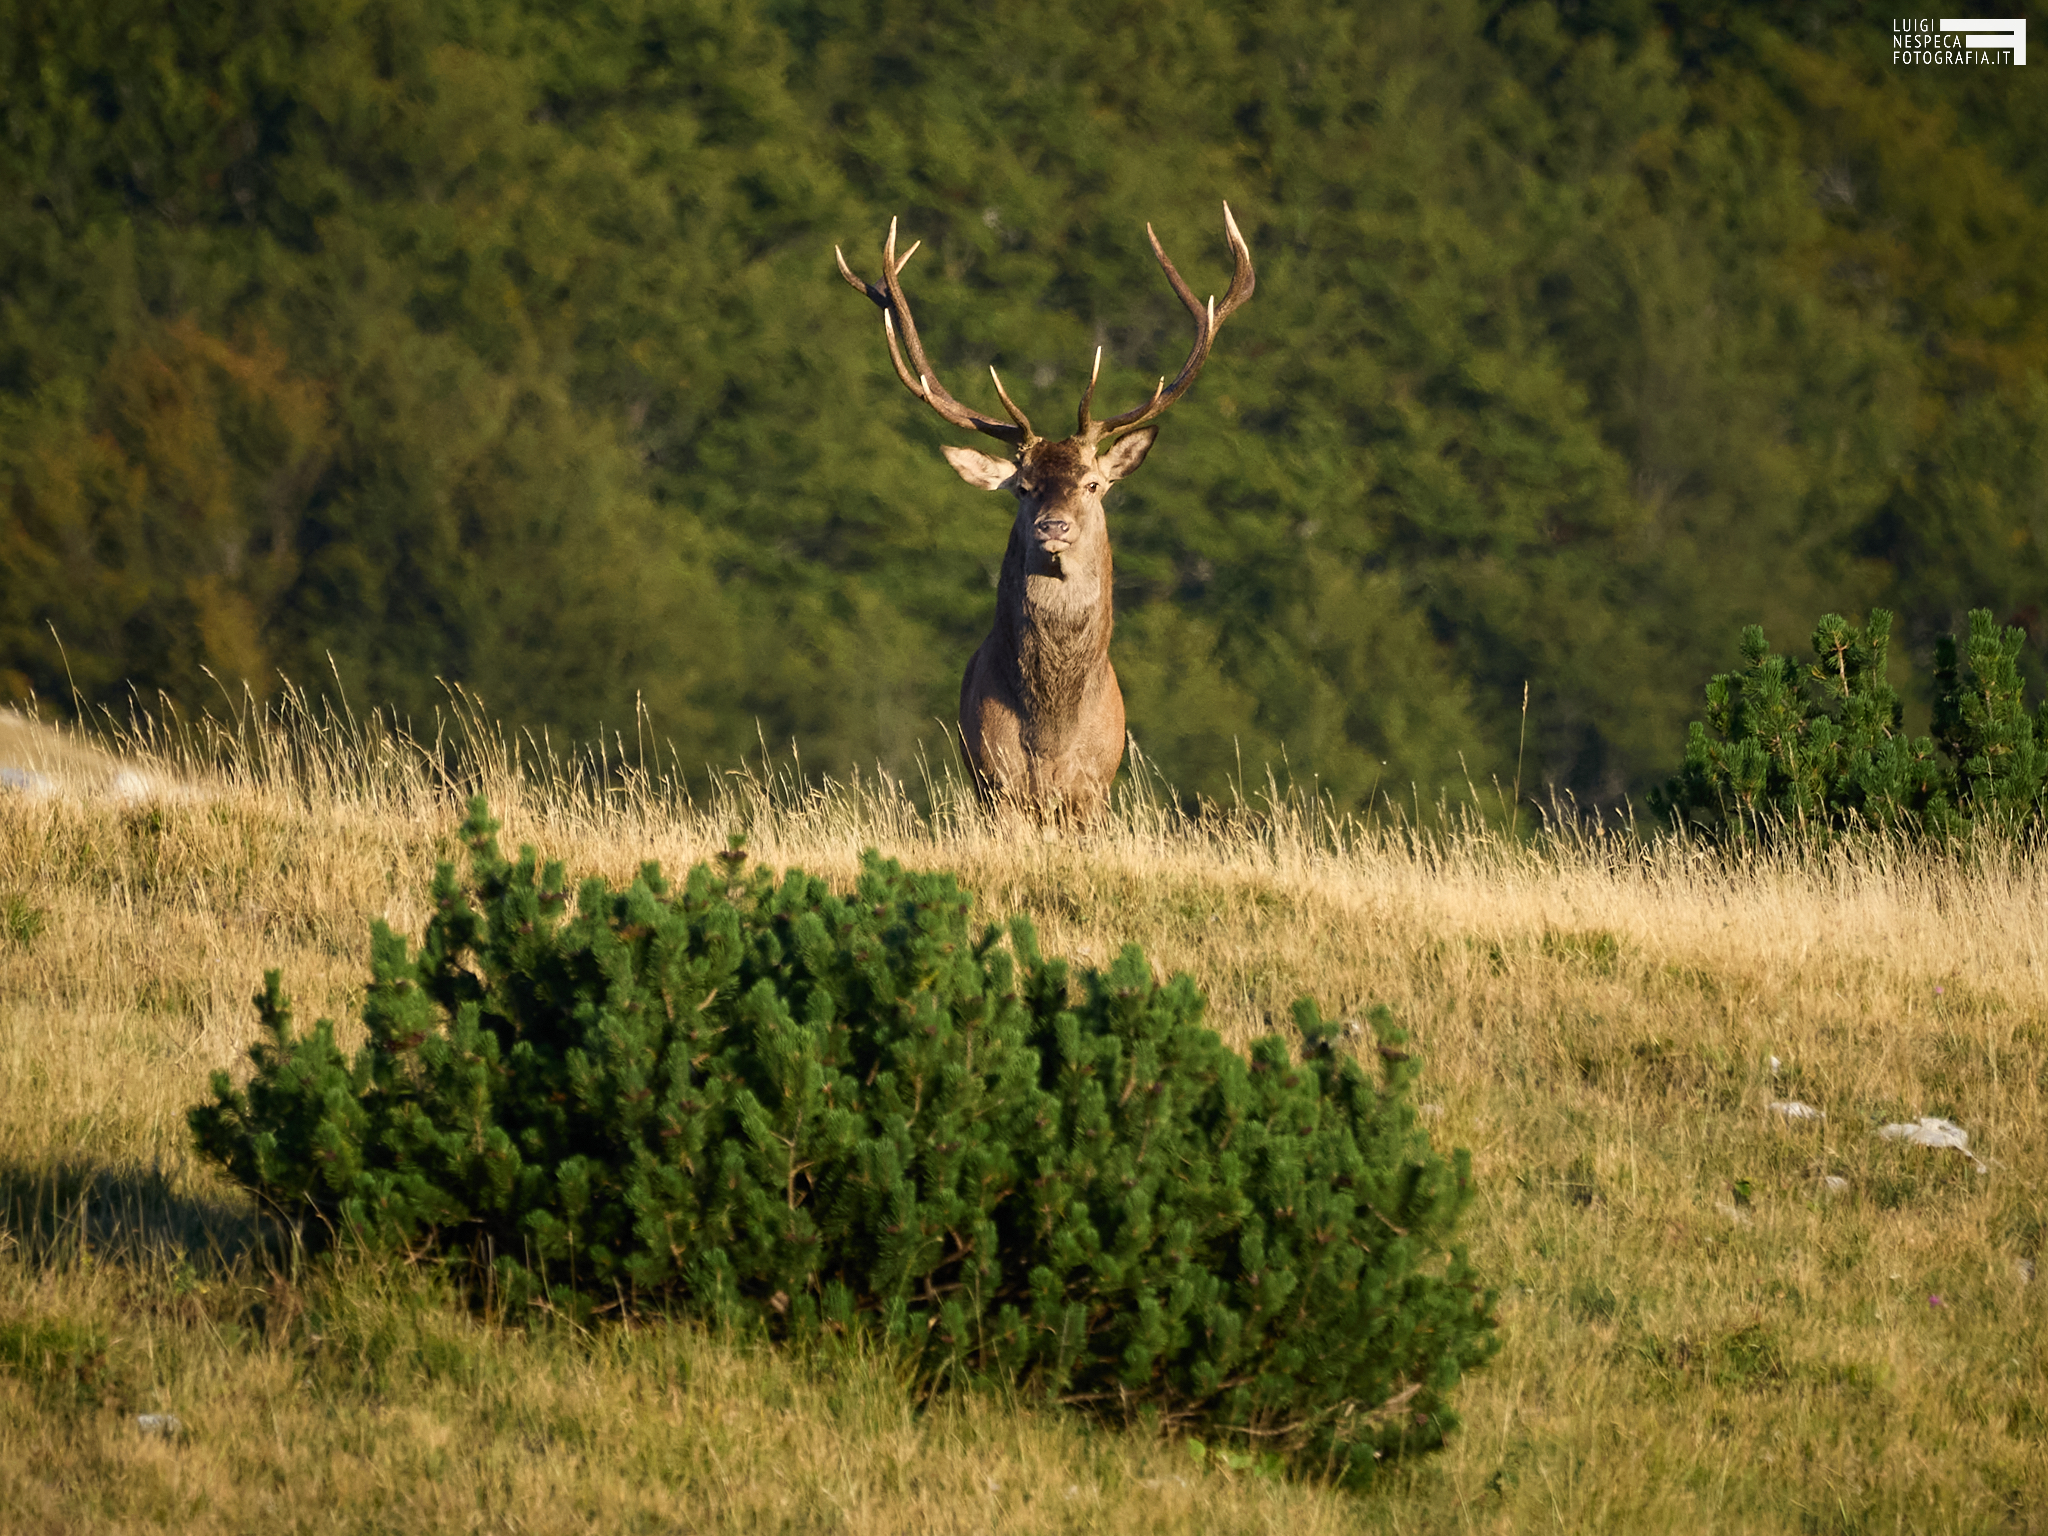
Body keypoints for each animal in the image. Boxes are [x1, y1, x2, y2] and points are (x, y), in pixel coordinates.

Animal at [835, 205, 1255, 822]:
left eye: (1094, 483)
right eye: (1023, 487)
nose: (1054, 526)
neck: (1052, 735)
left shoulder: (1093, 789)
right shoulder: (997, 783)